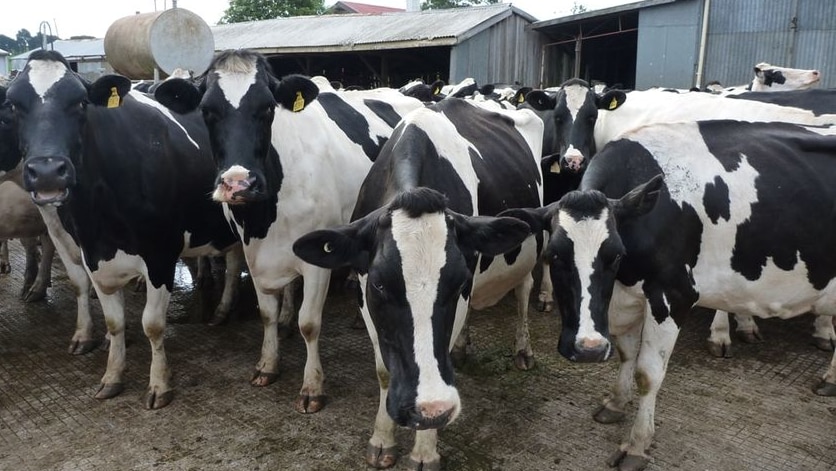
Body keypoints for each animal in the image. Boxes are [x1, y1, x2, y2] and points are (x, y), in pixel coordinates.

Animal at [6, 49, 242, 408]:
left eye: (80, 103)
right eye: (13, 105)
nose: (47, 172)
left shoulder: (161, 254)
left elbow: (153, 325)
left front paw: (159, 384)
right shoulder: (91, 254)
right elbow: (114, 321)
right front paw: (112, 375)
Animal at [153, 48, 424, 412]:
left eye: (268, 108)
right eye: (207, 111)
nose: (239, 183)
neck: (264, 218)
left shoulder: (317, 260)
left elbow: (309, 323)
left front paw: (312, 386)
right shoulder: (255, 254)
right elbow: (266, 314)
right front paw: (268, 363)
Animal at [294, 97, 544, 470]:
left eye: (458, 281)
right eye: (380, 285)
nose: (430, 409)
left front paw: (425, 451)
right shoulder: (365, 299)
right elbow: (384, 371)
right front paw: (382, 438)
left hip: (531, 250)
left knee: (524, 292)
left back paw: (523, 350)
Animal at [506, 120, 836, 470]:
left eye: (616, 255)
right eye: (553, 255)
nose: (588, 349)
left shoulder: (673, 295)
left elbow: (648, 374)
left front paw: (637, 445)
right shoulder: (627, 297)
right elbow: (626, 353)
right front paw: (616, 403)